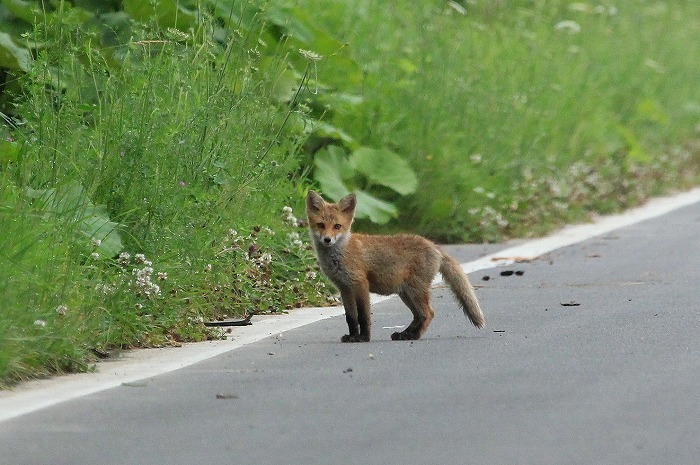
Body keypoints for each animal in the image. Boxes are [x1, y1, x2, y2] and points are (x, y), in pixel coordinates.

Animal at [306, 189, 486, 340]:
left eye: (337, 226)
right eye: (321, 225)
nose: (327, 239)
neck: (340, 253)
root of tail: (435, 246)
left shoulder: (360, 284)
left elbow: (363, 316)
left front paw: (363, 338)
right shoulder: (344, 288)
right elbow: (351, 318)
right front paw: (352, 337)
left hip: (415, 290)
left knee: (429, 314)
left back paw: (414, 336)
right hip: (405, 293)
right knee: (419, 316)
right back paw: (405, 334)